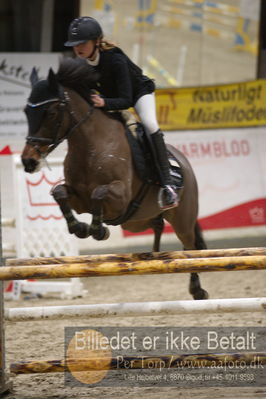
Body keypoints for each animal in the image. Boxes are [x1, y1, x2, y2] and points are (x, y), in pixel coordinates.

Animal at [21, 57, 208, 300]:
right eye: (26, 111)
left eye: (51, 113)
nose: (28, 161)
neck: (90, 147)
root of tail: (183, 162)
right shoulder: (79, 200)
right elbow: (59, 192)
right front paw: (80, 228)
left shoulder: (120, 197)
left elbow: (99, 192)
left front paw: (98, 230)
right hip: (137, 221)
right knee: (158, 225)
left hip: (182, 219)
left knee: (190, 247)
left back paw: (197, 290)